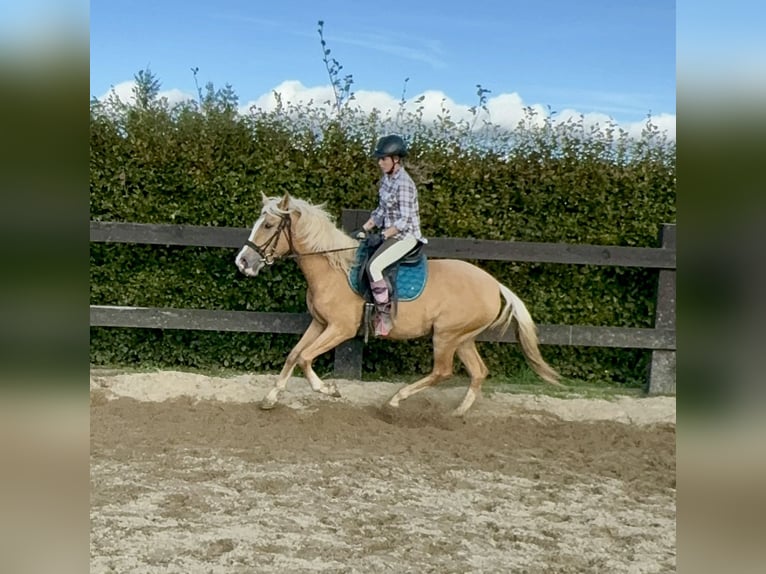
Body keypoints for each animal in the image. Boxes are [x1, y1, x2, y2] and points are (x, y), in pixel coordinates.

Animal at [231, 196, 560, 416]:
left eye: (269, 225)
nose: (243, 262)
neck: (334, 268)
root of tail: (494, 284)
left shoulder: (340, 329)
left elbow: (305, 358)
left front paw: (329, 389)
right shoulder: (320, 323)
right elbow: (294, 355)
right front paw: (271, 398)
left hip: (446, 336)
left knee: (442, 371)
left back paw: (395, 401)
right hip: (463, 338)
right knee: (478, 372)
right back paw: (457, 414)